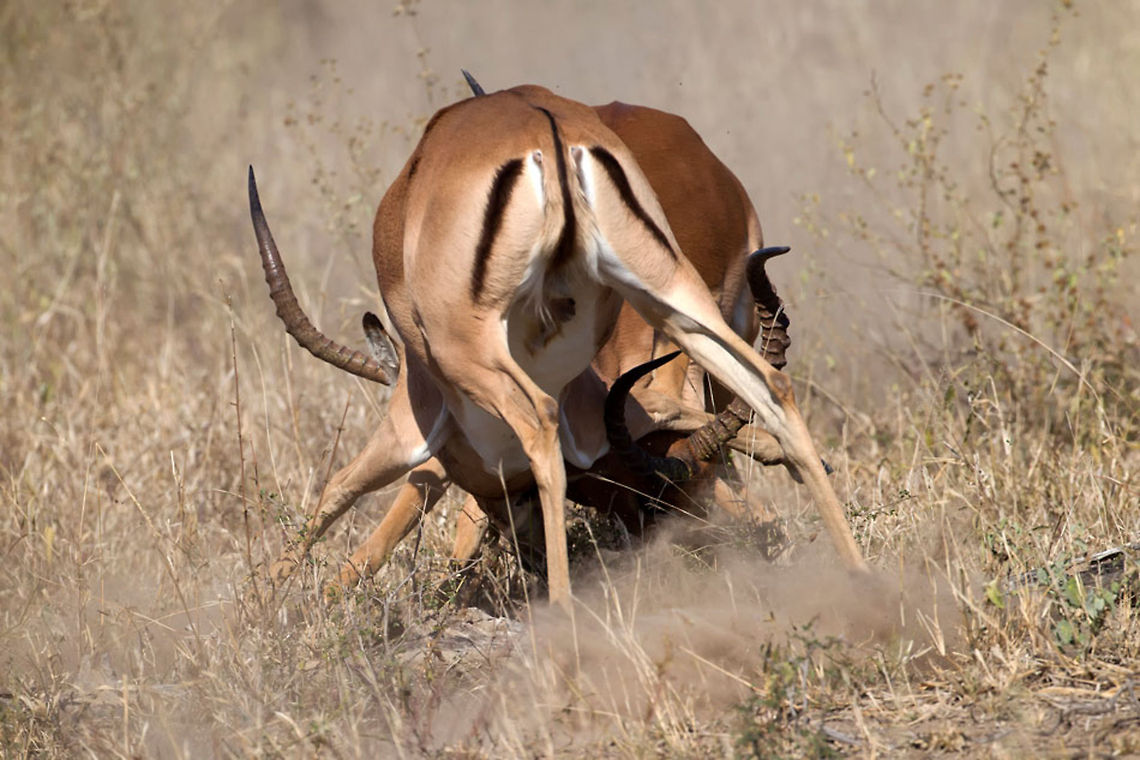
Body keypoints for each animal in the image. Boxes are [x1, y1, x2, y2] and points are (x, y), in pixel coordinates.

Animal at [249, 83, 867, 608]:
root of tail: (545, 128)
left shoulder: (422, 410)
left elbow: (343, 487)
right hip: (668, 294)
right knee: (772, 385)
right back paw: (858, 579)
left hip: (472, 349)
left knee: (537, 421)